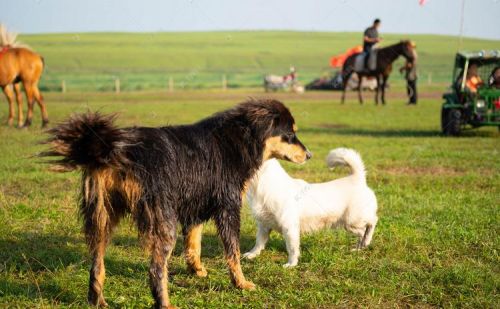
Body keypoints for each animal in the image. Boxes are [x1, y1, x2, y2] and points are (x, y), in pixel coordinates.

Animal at [41, 99, 310, 308]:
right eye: (290, 134)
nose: (309, 155)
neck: (239, 139)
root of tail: (114, 148)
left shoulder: (195, 204)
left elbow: (193, 243)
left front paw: (196, 270)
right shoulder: (228, 207)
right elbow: (232, 252)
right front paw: (241, 283)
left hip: (102, 217)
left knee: (96, 265)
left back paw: (97, 300)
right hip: (163, 221)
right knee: (155, 269)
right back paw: (165, 303)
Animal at [243, 148, 378, 266]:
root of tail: (357, 178)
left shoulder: (289, 228)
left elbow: (292, 248)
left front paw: (291, 264)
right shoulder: (263, 225)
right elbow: (259, 242)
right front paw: (252, 254)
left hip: (352, 220)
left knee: (372, 222)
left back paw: (366, 241)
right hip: (350, 225)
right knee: (362, 232)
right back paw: (359, 247)